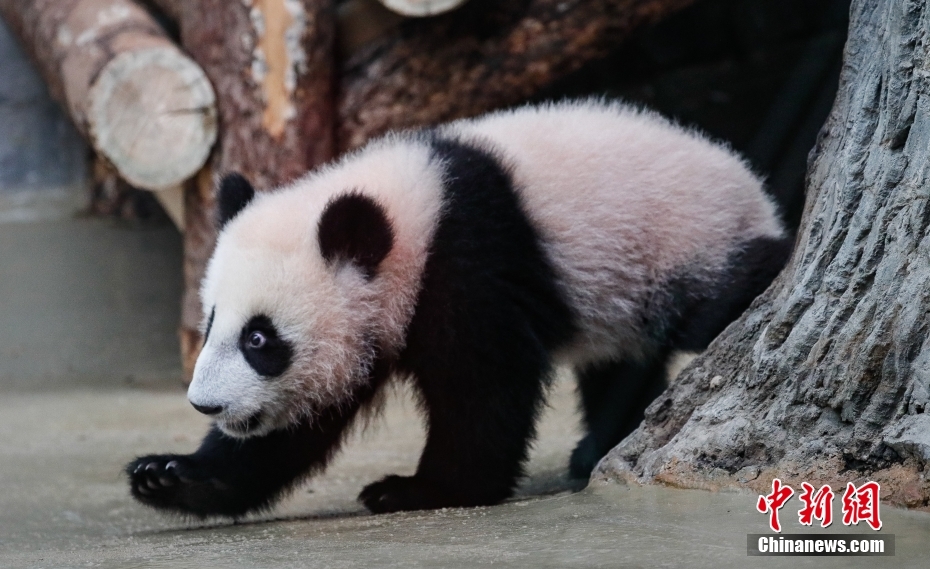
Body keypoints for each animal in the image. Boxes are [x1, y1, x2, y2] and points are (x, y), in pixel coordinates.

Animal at [127, 100, 791, 518]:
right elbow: (295, 430)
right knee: (619, 363)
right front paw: (170, 475)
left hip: (683, 245)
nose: (207, 405)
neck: (409, 212)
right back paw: (600, 444)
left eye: (260, 340)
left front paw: (418, 489)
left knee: (719, 301)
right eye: (212, 324)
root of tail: (747, 180)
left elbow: (482, 385)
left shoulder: (469, 256)